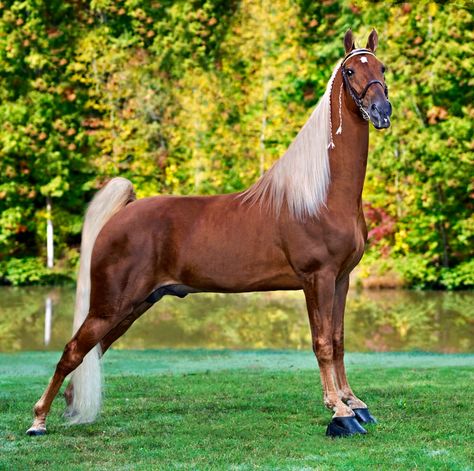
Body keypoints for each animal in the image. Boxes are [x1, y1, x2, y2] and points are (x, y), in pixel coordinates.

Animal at [28, 30, 392, 438]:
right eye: (350, 71)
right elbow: (323, 343)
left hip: (133, 306)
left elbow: (339, 340)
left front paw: (355, 404)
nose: (382, 111)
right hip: (111, 306)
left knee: (91, 352)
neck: (321, 194)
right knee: (72, 351)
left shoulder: (341, 279)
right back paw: (38, 421)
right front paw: (339, 413)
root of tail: (123, 213)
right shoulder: (318, 278)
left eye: (381, 67)